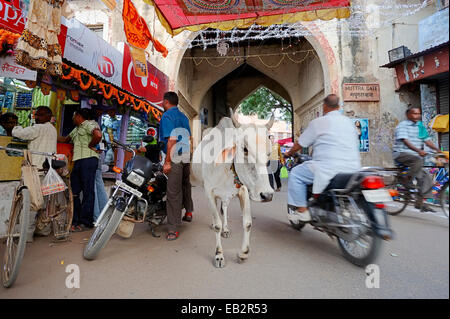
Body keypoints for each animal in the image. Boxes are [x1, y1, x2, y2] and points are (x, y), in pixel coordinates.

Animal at [191, 109, 272, 268]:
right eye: (245, 149)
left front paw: (243, 253)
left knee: (224, 208)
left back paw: (226, 229)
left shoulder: (244, 190)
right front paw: (219, 255)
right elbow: (217, 224)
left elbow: (247, 223)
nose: (267, 195)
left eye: (268, 153)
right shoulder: (209, 192)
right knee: (217, 212)